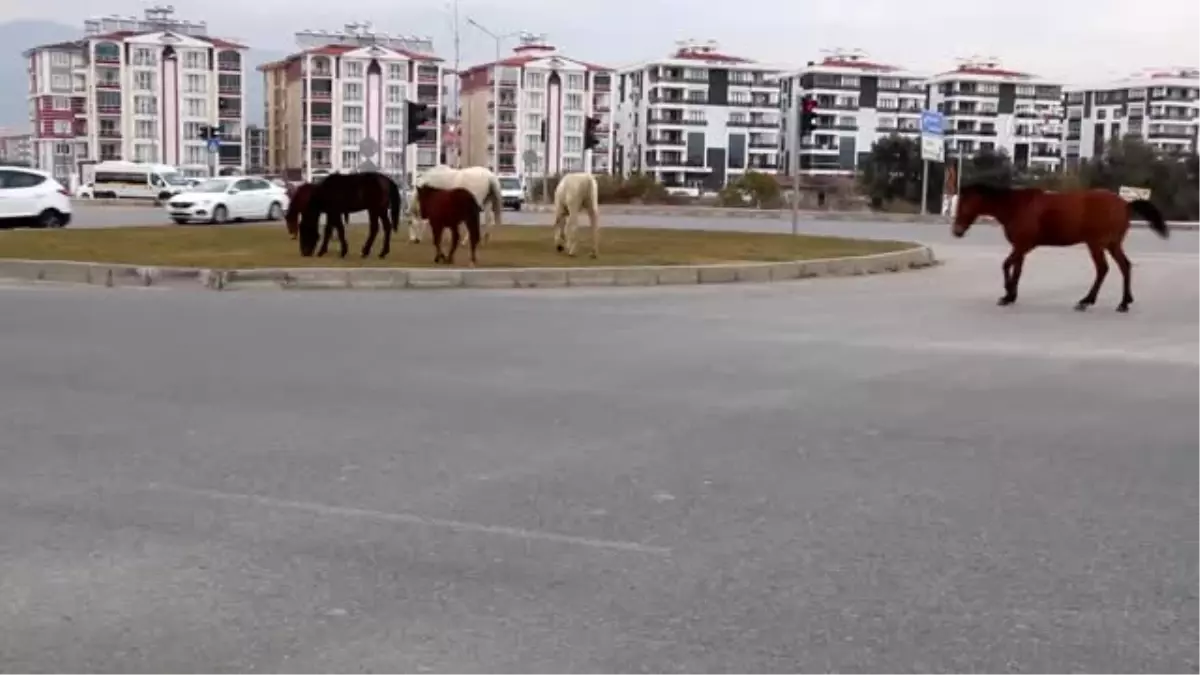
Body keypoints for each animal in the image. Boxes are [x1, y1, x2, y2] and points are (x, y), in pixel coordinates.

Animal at [950, 182, 1166, 312]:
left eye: (964, 204)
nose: (956, 231)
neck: (1017, 207)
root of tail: (1125, 205)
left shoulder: (1021, 245)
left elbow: (1005, 265)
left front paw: (1007, 294)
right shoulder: (1022, 248)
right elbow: (1017, 271)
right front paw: (1010, 296)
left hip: (1096, 244)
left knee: (1103, 269)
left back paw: (1086, 301)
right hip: (1112, 244)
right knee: (1124, 266)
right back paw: (1123, 302)